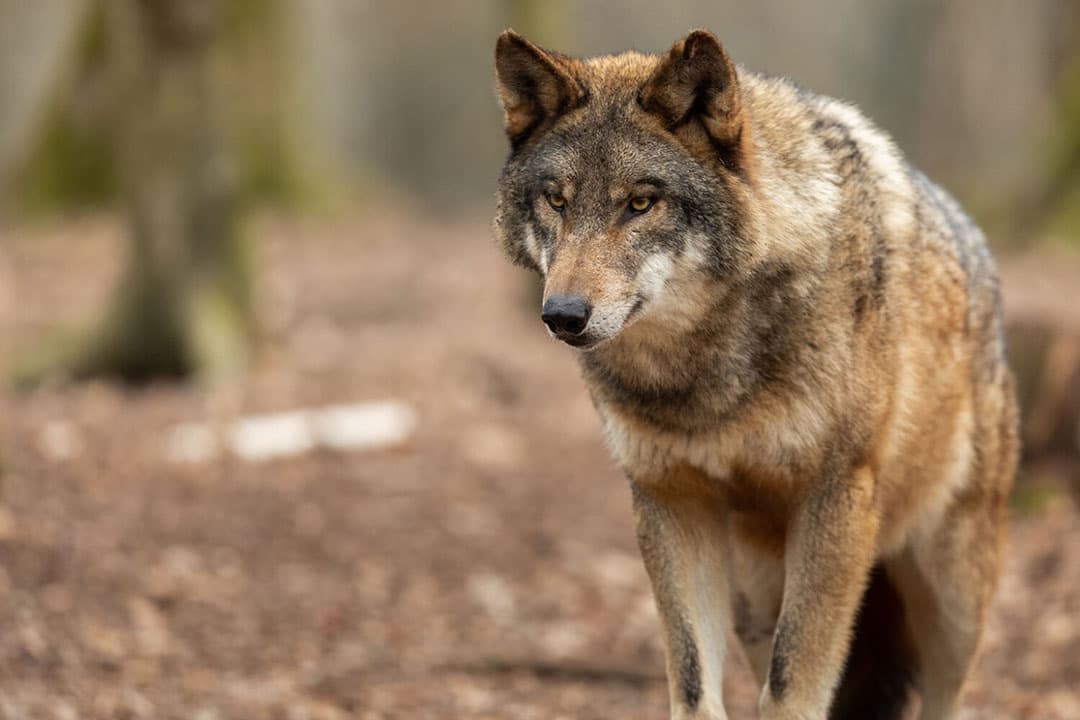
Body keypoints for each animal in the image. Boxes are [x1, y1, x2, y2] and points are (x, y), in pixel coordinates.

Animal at [492, 29, 1019, 720]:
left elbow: (791, 687)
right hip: (752, 595)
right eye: (557, 200)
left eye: (641, 203)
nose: (562, 315)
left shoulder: (836, 497)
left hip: (952, 595)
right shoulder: (670, 501)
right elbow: (693, 684)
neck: (705, 379)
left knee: (946, 696)